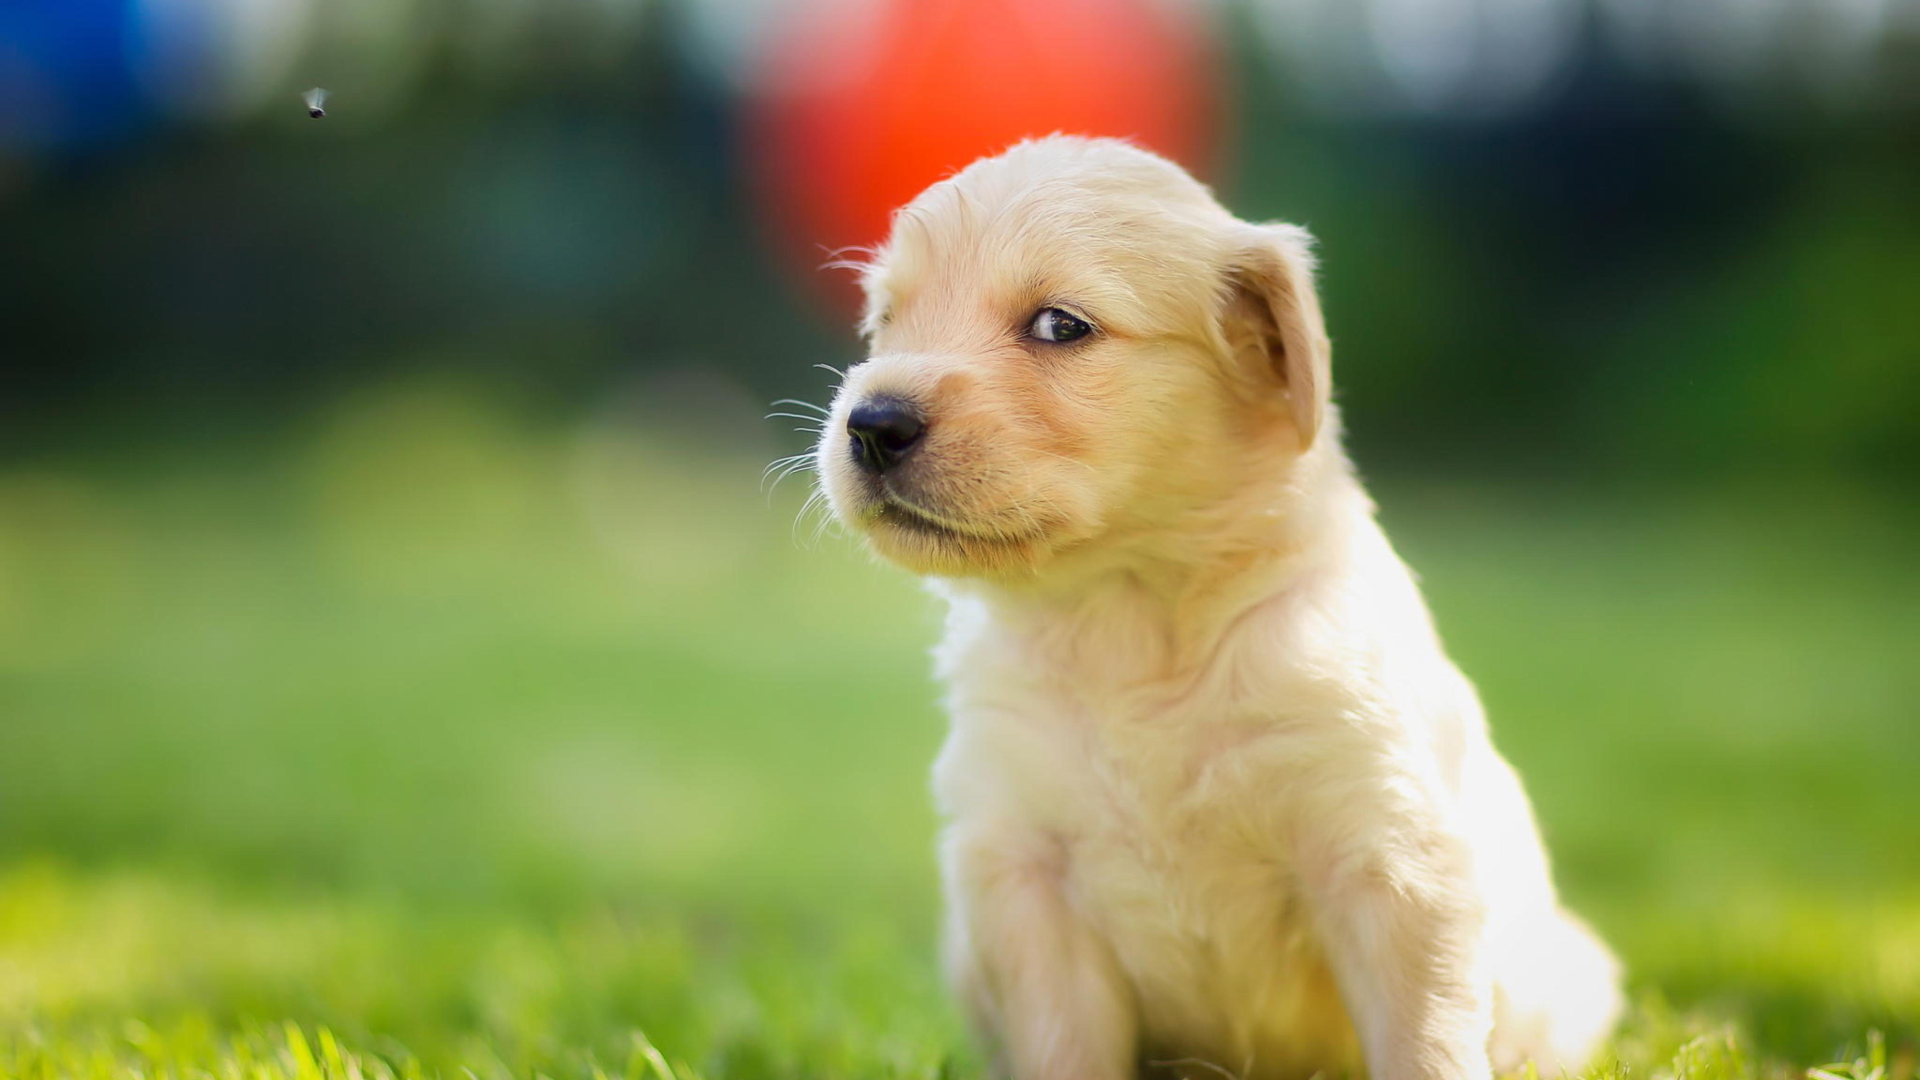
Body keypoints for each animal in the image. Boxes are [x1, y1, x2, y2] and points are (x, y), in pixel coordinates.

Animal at [810, 136, 1620, 1076]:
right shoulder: (1024, 872)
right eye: (884, 321)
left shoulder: (1391, 862)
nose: (871, 424)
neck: (1129, 617)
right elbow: (1061, 1045)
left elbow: (1424, 1047)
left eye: (1060, 325)